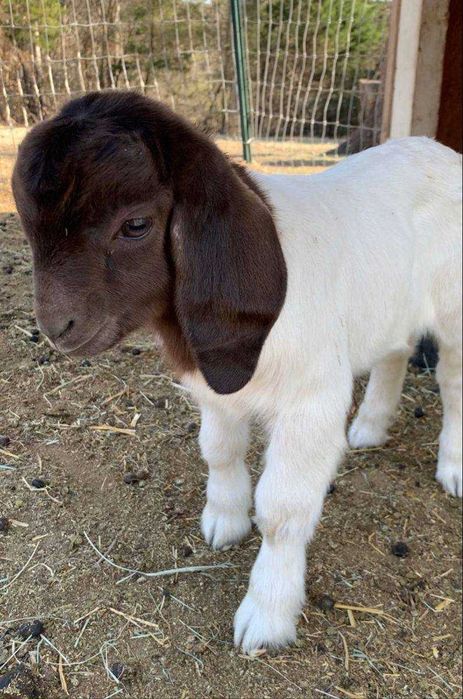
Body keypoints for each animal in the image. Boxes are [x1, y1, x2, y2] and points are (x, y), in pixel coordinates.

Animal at [11, 91, 462, 652]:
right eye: (29, 224)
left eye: (135, 225)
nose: (56, 327)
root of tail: (439, 150)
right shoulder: (215, 386)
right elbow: (219, 451)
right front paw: (223, 521)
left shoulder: (311, 402)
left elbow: (283, 511)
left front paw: (267, 614)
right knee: (394, 351)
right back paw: (369, 428)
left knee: (453, 382)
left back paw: (453, 468)